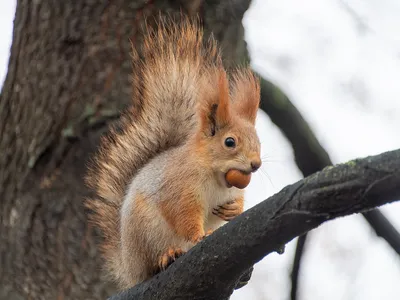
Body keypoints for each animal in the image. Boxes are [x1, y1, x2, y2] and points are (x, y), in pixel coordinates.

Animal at [85, 17, 262, 288]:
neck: (216, 176)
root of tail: (129, 267)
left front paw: (234, 210)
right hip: (146, 232)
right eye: (229, 142)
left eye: (258, 141)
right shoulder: (179, 187)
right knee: (152, 263)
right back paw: (168, 255)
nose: (256, 164)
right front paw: (199, 235)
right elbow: (183, 214)